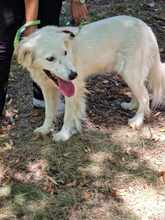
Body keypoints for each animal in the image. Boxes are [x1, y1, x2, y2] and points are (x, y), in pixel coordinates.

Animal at [15, 16, 165, 142]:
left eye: (65, 53)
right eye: (50, 59)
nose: (73, 75)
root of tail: (146, 28)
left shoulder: (73, 90)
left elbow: (68, 115)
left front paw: (64, 134)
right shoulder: (47, 89)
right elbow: (49, 112)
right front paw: (45, 129)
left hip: (131, 73)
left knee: (145, 96)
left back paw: (137, 120)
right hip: (128, 74)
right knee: (139, 93)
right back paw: (131, 105)